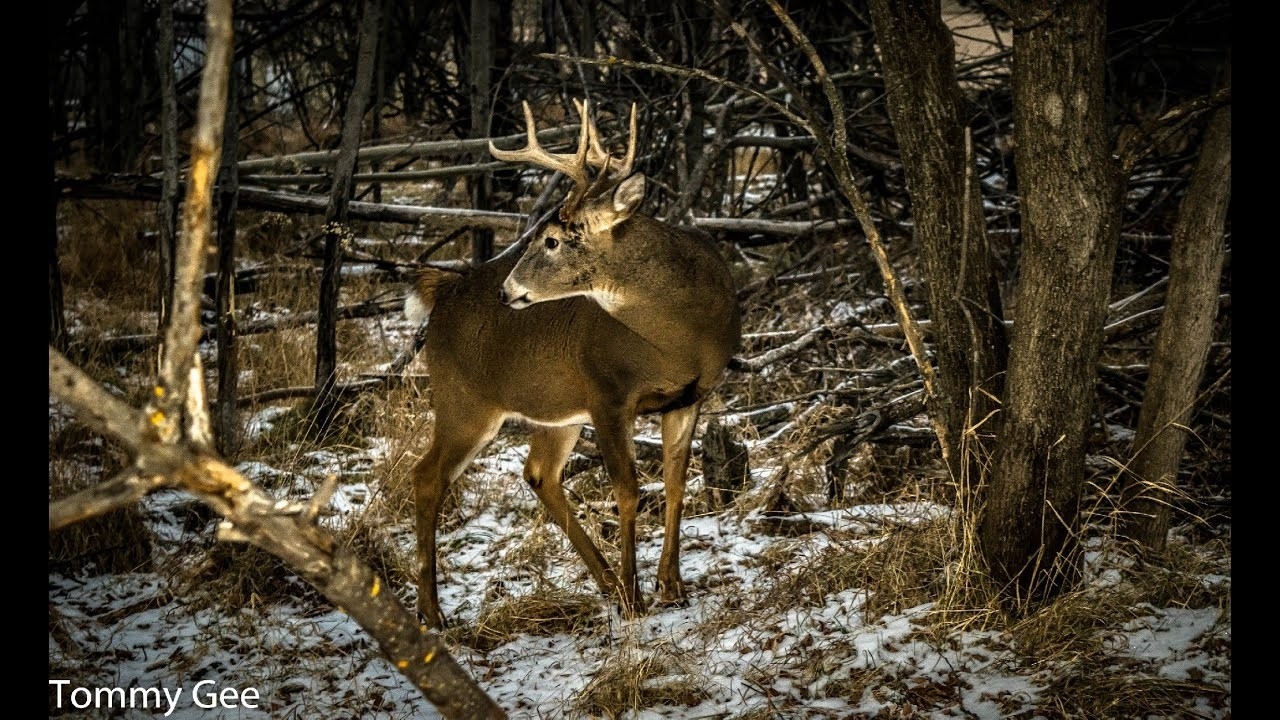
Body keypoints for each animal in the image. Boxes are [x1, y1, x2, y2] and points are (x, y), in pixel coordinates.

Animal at [399, 98, 742, 625]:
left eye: (553, 240)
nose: (507, 291)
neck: (680, 337)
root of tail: (445, 293)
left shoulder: (689, 396)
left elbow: (677, 485)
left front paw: (671, 588)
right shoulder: (607, 394)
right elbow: (628, 490)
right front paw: (637, 597)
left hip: (556, 409)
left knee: (539, 473)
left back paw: (605, 584)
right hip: (464, 399)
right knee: (426, 476)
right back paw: (432, 613)